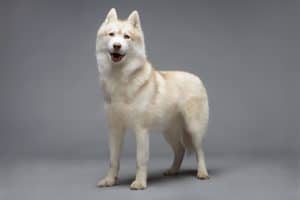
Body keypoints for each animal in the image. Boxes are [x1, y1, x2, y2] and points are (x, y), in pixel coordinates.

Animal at [95, 8, 209, 189]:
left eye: (126, 37)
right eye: (111, 34)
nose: (117, 45)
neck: (120, 80)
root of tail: (197, 78)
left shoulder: (141, 131)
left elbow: (140, 160)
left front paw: (140, 183)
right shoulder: (114, 130)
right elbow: (113, 160)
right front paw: (109, 181)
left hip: (194, 129)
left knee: (200, 151)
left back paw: (202, 173)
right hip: (169, 132)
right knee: (180, 150)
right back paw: (172, 171)